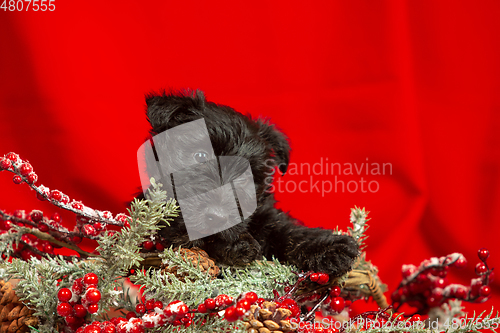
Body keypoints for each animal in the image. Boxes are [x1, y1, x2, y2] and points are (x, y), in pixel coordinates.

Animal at [141, 89, 360, 276]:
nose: (217, 217)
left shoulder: (266, 214)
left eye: (245, 177)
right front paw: (238, 243)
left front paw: (329, 248)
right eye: (200, 155)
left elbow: (287, 230)